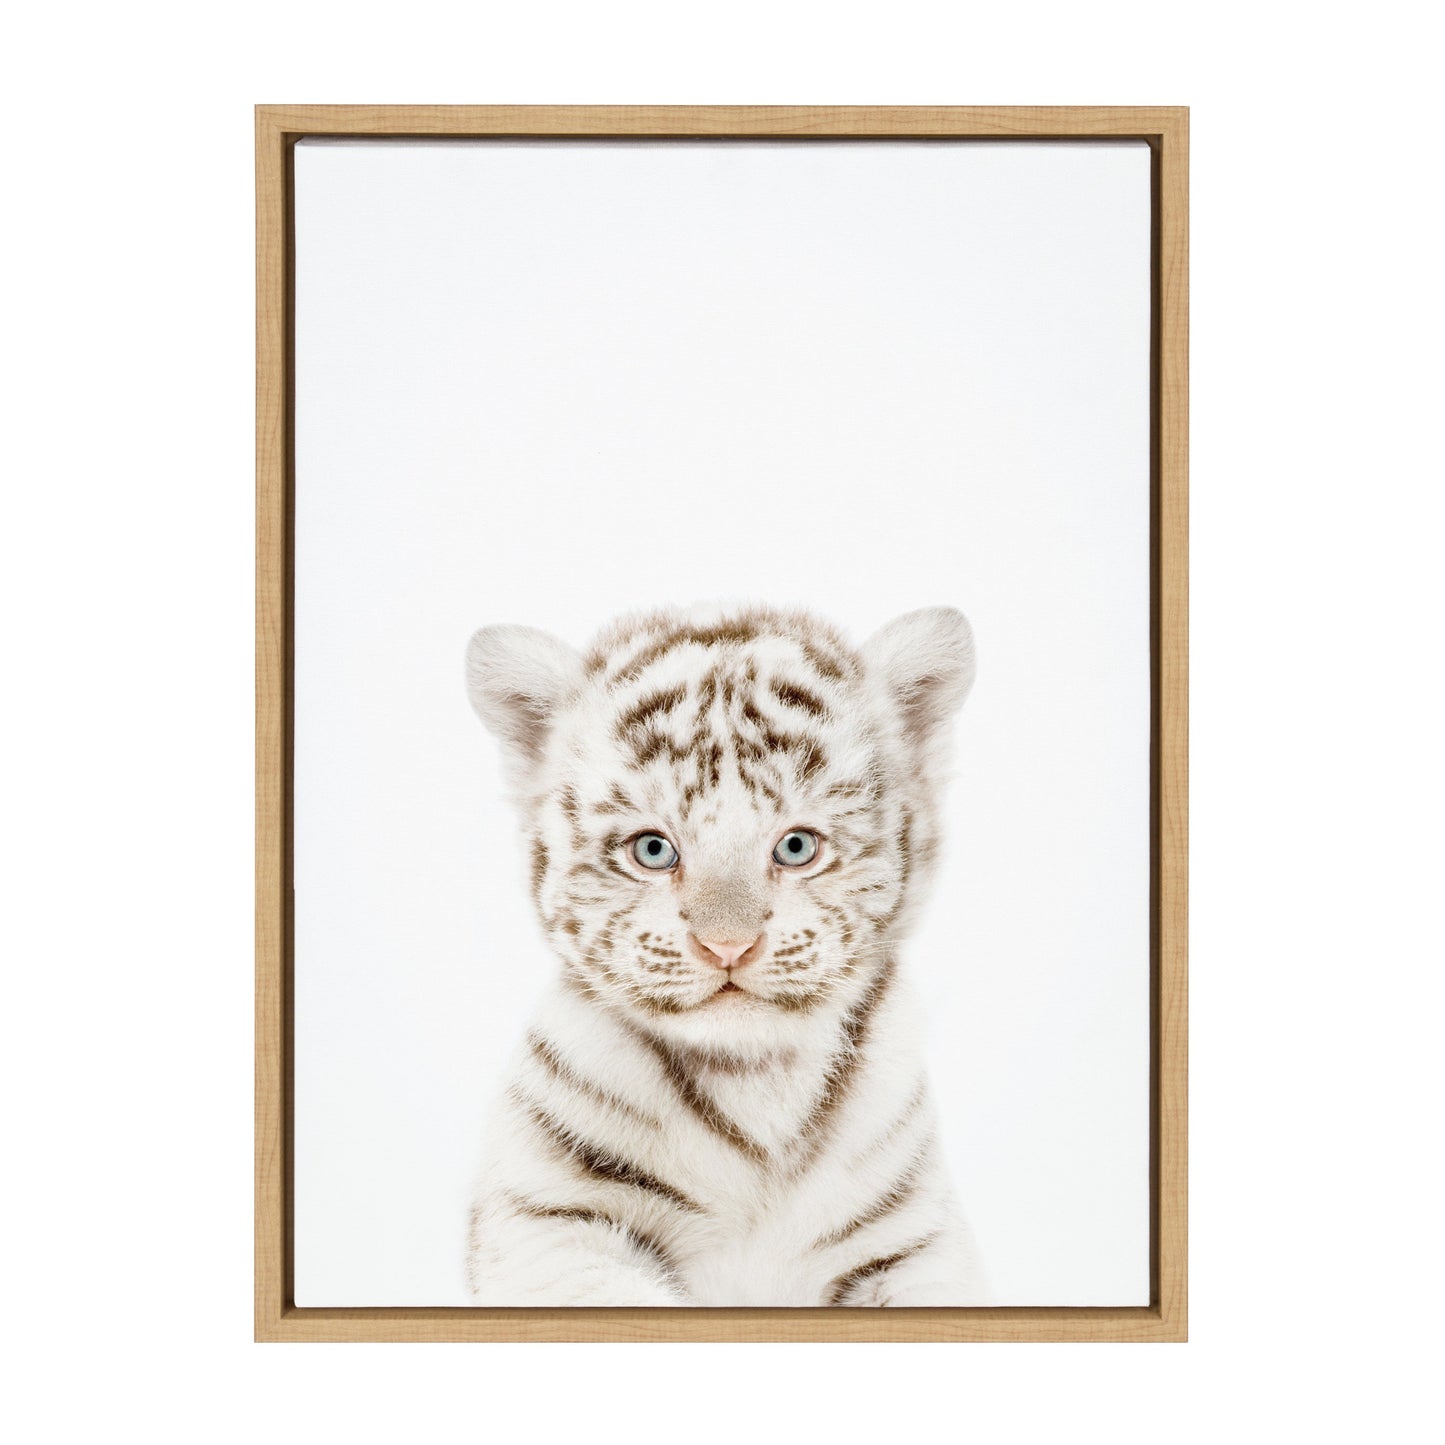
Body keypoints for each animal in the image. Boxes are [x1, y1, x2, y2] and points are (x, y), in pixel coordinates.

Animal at [462, 603, 987, 1306]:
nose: (727, 946)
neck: (754, 1082)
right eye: (653, 850)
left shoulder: (914, 1240)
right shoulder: (546, 1223)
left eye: (796, 847)